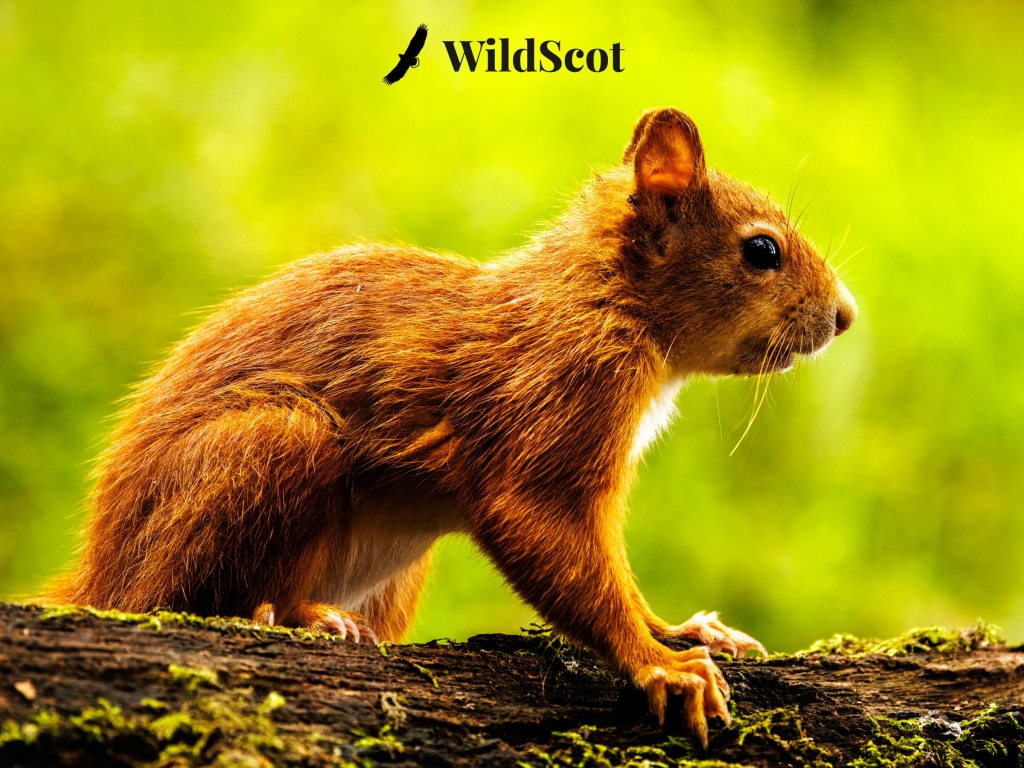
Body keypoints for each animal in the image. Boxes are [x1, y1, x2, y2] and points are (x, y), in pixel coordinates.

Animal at [49, 108, 856, 746]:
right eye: (762, 250)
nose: (846, 316)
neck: (604, 299)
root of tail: (101, 569)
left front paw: (678, 628)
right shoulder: (556, 401)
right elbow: (550, 538)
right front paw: (660, 663)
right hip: (274, 444)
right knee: (187, 597)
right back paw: (294, 614)